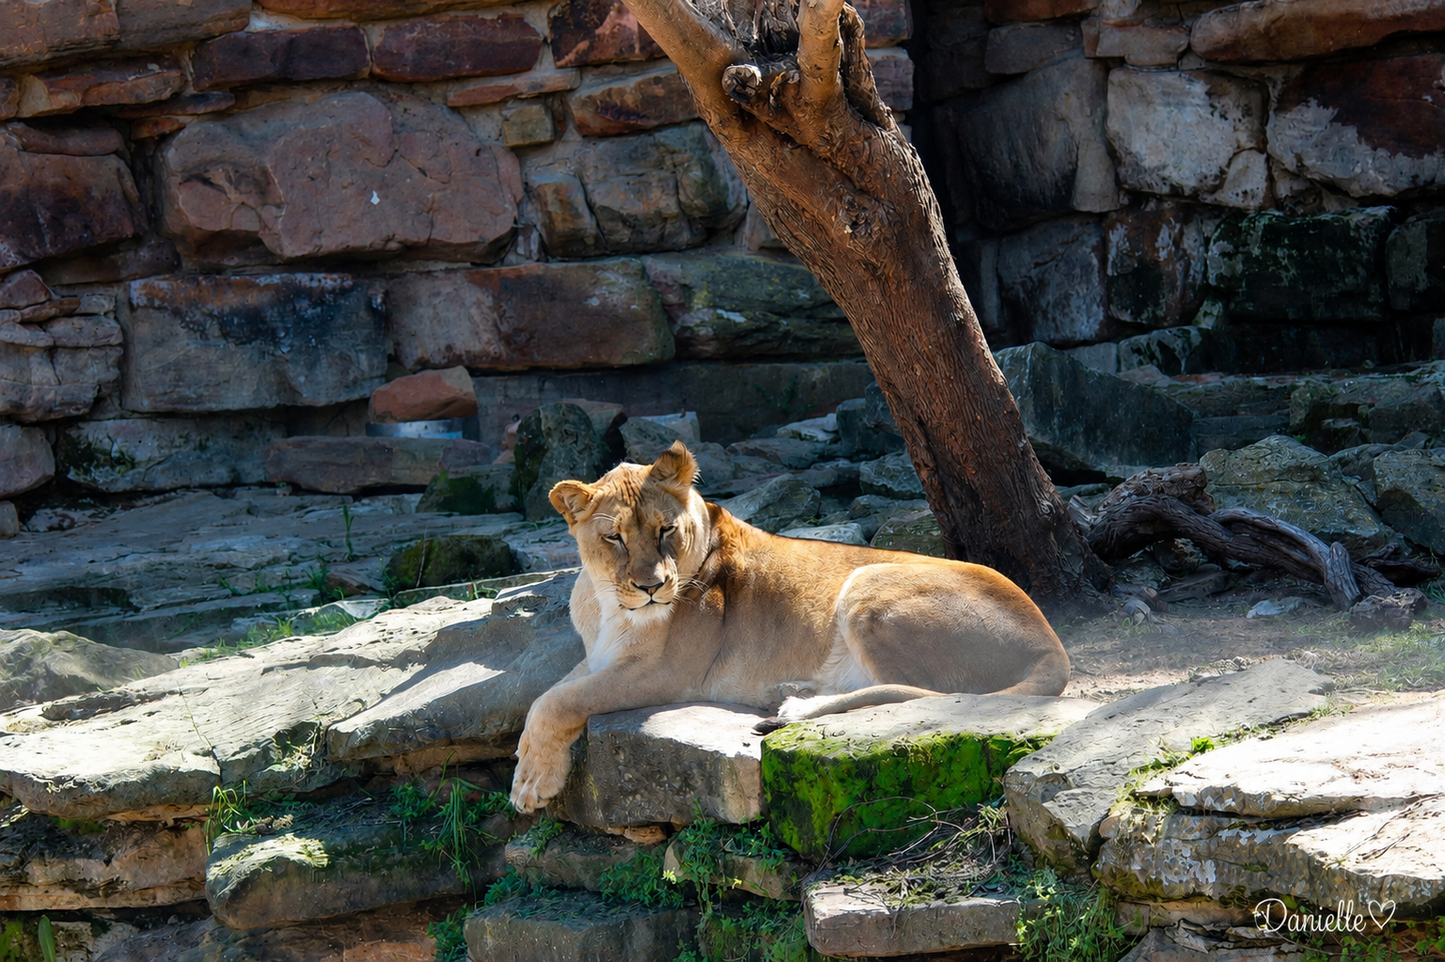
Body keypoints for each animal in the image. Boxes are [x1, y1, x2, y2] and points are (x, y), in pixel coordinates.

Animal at [509, 440, 1069, 813]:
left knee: (918, 693)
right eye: (615, 538)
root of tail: (1050, 642)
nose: (651, 587)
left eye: (665, 530)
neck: (607, 603)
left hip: (869, 581)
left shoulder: (664, 674)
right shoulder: (599, 655)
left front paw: (530, 783)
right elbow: (545, 694)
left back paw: (795, 705)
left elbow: (559, 700)